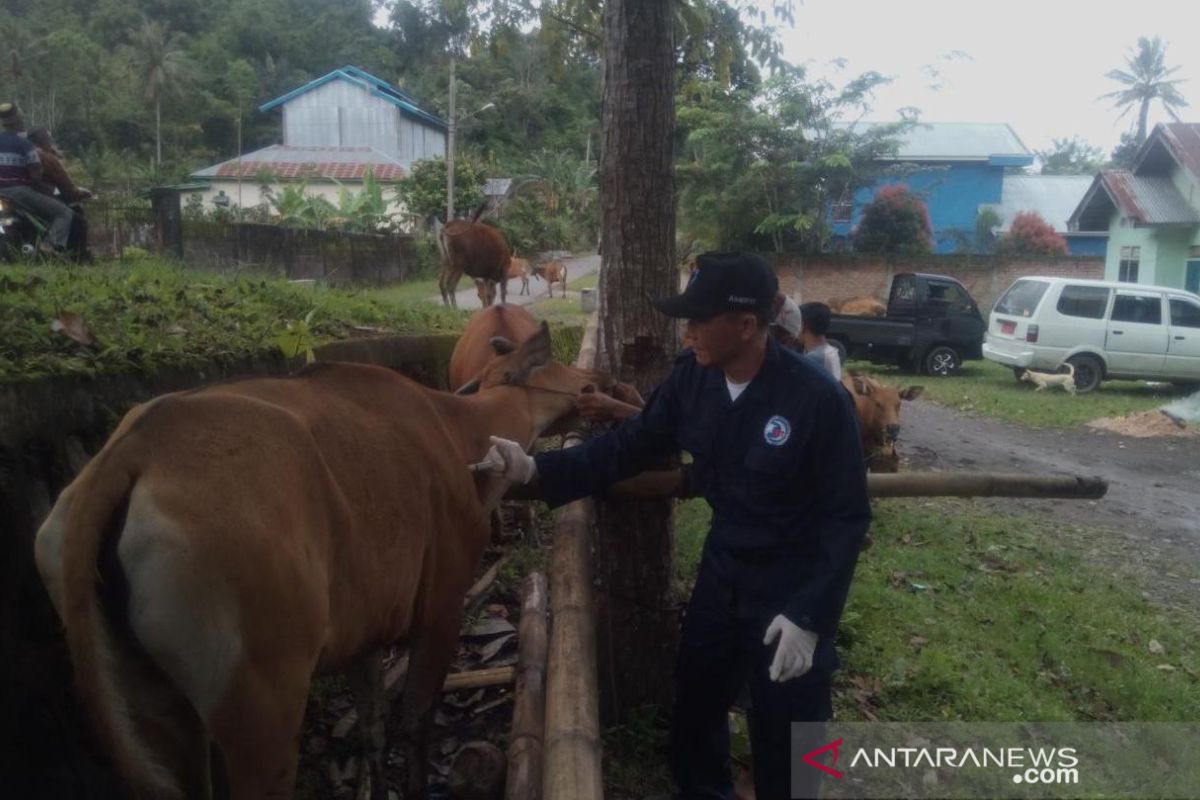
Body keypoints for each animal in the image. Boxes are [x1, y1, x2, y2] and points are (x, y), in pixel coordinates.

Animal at [32, 323, 604, 800]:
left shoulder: (364, 633)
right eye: (559, 366)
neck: (458, 428)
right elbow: (415, 722)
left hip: (162, 711)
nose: (598, 378)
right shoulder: (442, 607)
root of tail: (127, 456)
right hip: (263, 707)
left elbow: (372, 727)